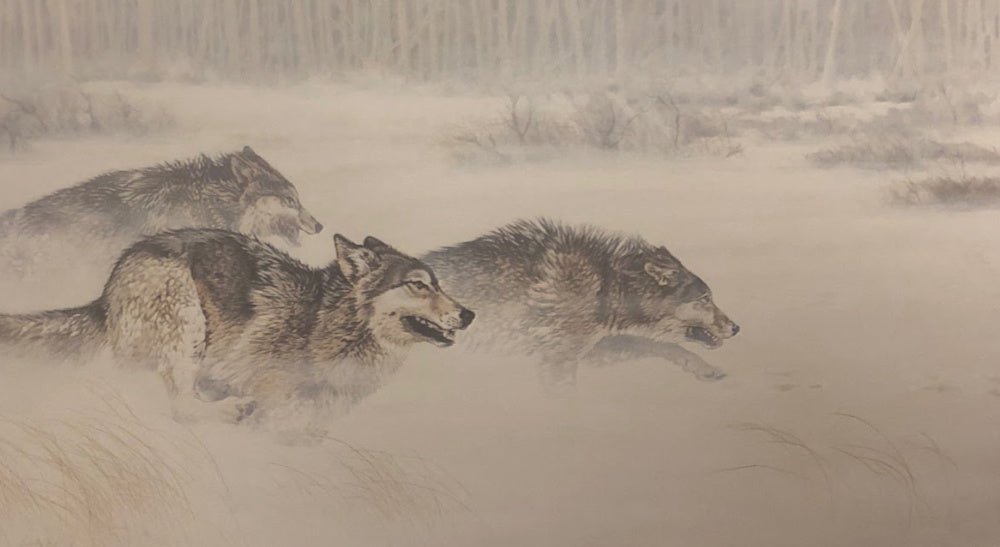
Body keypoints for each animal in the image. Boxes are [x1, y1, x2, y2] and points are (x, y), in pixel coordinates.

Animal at [0, 229, 474, 426]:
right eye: (418, 285)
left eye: (439, 283)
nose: (470, 314)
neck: (324, 323)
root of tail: (106, 291)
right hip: (187, 323)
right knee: (180, 407)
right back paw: (225, 408)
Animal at [422, 218, 739, 387]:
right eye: (705, 299)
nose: (736, 328)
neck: (606, 284)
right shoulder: (559, 358)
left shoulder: (598, 347)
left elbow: (667, 346)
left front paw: (705, 370)